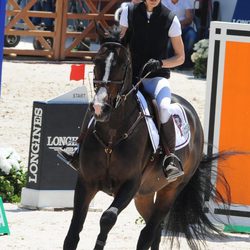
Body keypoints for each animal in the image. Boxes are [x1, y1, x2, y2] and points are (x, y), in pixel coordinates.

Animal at [64, 25, 230, 250]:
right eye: (96, 61)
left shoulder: (130, 184)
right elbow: (73, 232)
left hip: (170, 190)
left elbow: (108, 217)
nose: (99, 108)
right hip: (145, 194)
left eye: (123, 64)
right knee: (155, 229)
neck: (112, 135)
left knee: (149, 231)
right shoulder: (86, 182)